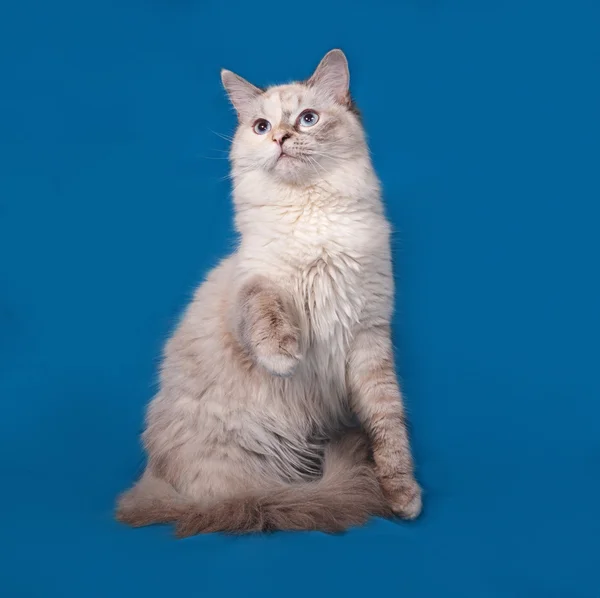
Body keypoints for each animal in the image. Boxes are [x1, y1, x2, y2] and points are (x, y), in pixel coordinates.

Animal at [116, 50, 422, 540]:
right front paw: (283, 357)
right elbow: (265, 308)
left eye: (307, 119)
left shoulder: (369, 335)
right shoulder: (256, 280)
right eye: (261, 126)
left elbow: (388, 427)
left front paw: (403, 497)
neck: (312, 216)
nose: (279, 137)